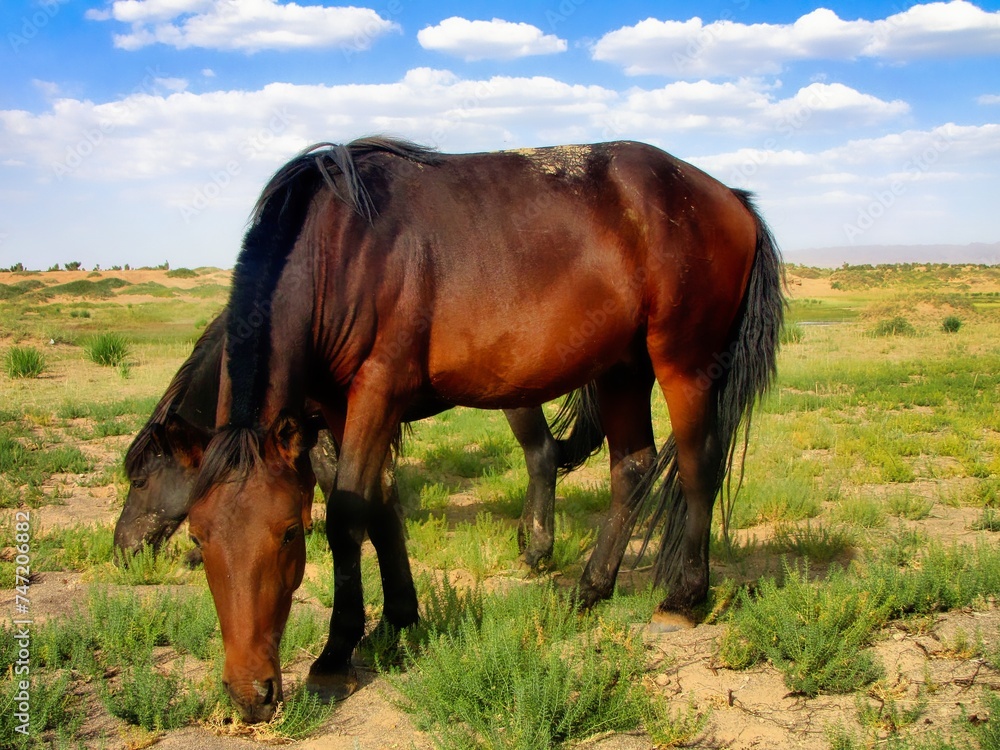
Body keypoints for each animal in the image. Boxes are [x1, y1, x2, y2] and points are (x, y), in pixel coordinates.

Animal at [186, 138, 780, 724]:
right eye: (197, 537)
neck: (343, 246)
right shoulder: (339, 406)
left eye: (289, 532)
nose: (250, 695)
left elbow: (348, 518)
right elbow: (379, 506)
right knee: (631, 469)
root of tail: (729, 196)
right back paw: (589, 591)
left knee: (698, 466)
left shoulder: (378, 390)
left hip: (683, 362)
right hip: (623, 366)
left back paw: (683, 599)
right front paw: (396, 622)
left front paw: (335, 656)